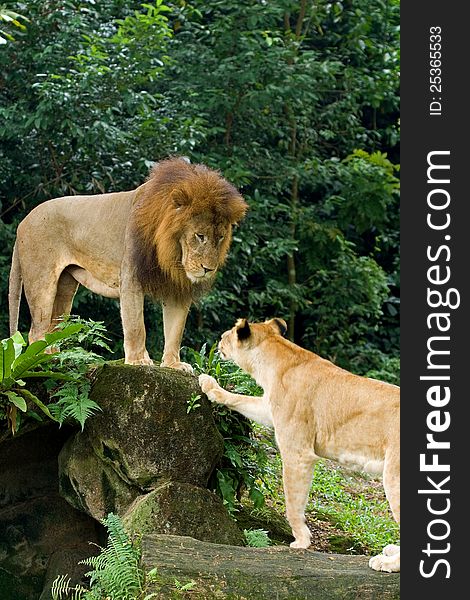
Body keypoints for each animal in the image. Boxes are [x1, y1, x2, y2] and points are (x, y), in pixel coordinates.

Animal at [9, 157, 248, 368]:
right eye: (200, 236)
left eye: (220, 238)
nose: (208, 269)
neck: (171, 253)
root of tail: (23, 222)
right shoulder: (131, 278)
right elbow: (136, 326)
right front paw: (137, 361)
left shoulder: (177, 287)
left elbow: (175, 330)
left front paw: (173, 365)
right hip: (42, 282)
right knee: (36, 331)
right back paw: (42, 361)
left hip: (65, 286)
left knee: (53, 327)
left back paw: (56, 357)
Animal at [198, 318, 400, 572]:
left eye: (226, 335)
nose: (218, 342)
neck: (274, 363)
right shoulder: (268, 409)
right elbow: (241, 399)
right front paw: (208, 384)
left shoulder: (297, 452)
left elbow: (293, 502)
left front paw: (301, 540)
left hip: (394, 477)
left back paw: (387, 563)